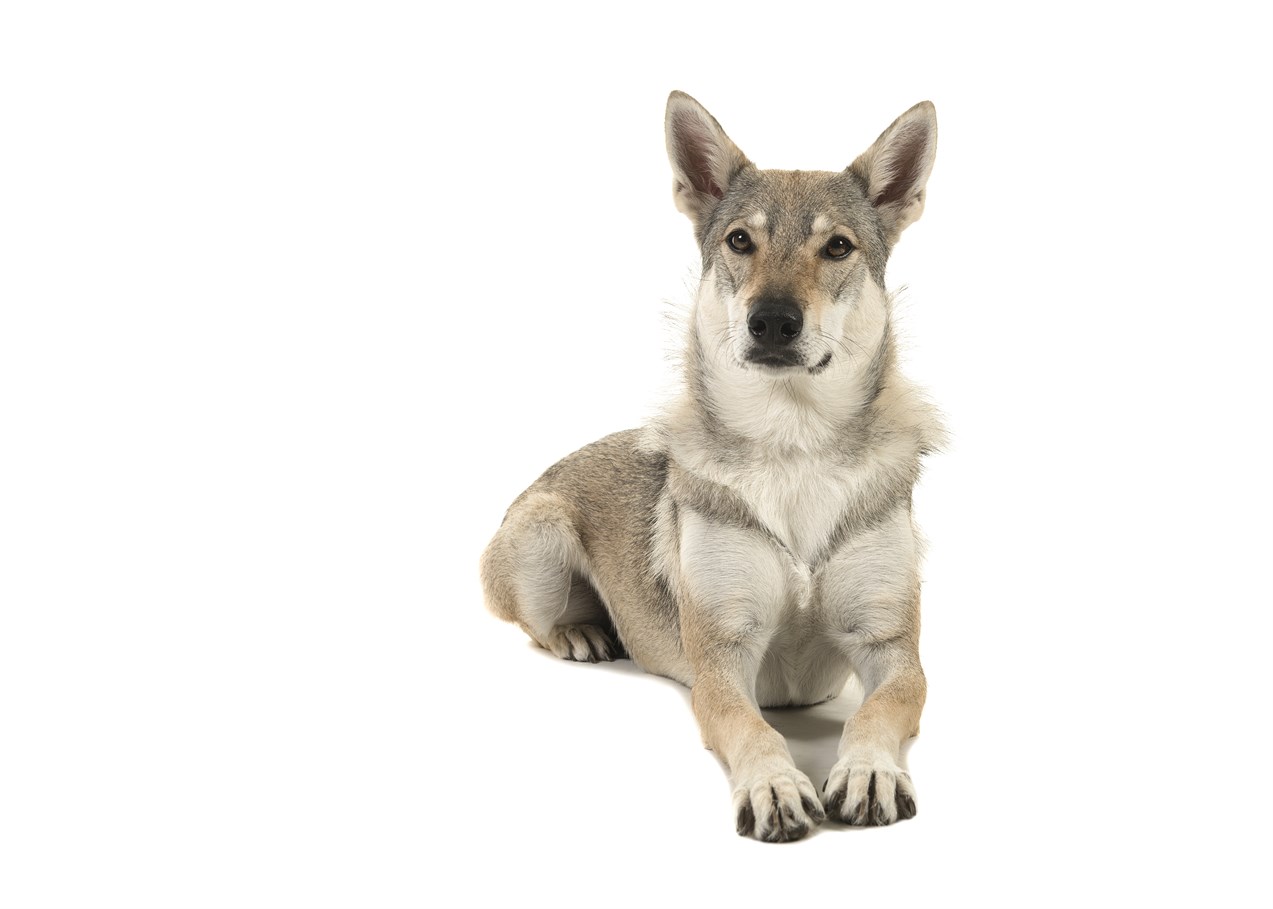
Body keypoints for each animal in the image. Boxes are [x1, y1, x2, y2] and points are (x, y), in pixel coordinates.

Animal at [481, 92, 942, 840]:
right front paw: (773, 784)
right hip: (541, 532)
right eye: (740, 241)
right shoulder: (721, 659)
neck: (792, 446)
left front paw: (867, 768)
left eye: (837, 246)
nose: (773, 320)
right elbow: (753, 729)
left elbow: (877, 711)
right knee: (536, 622)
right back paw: (582, 630)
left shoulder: (891, 646)